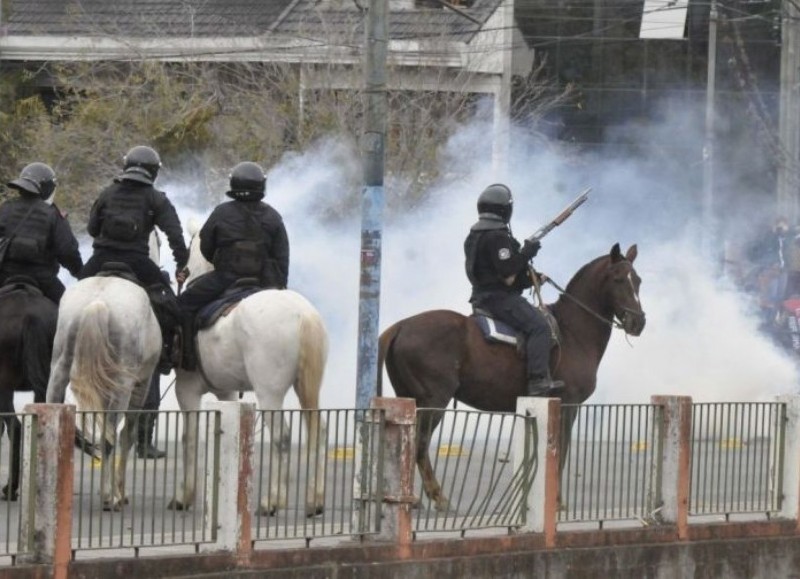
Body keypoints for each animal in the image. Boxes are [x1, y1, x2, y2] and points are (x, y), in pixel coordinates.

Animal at [170, 222, 330, 516]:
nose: (181, 272)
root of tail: (303, 314)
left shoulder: (186, 391)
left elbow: (190, 436)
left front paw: (184, 496)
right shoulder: (227, 393)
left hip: (269, 393)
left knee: (282, 437)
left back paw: (272, 500)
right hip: (306, 387)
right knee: (319, 432)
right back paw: (315, 500)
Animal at [378, 242, 648, 510]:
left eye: (638, 280)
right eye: (617, 279)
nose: (638, 323)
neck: (572, 332)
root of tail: (400, 326)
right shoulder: (567, 405)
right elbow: (559, 451)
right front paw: (557, 501)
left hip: (409, 399)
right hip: (433, 402)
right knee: (420, 445)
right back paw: (438, 498)